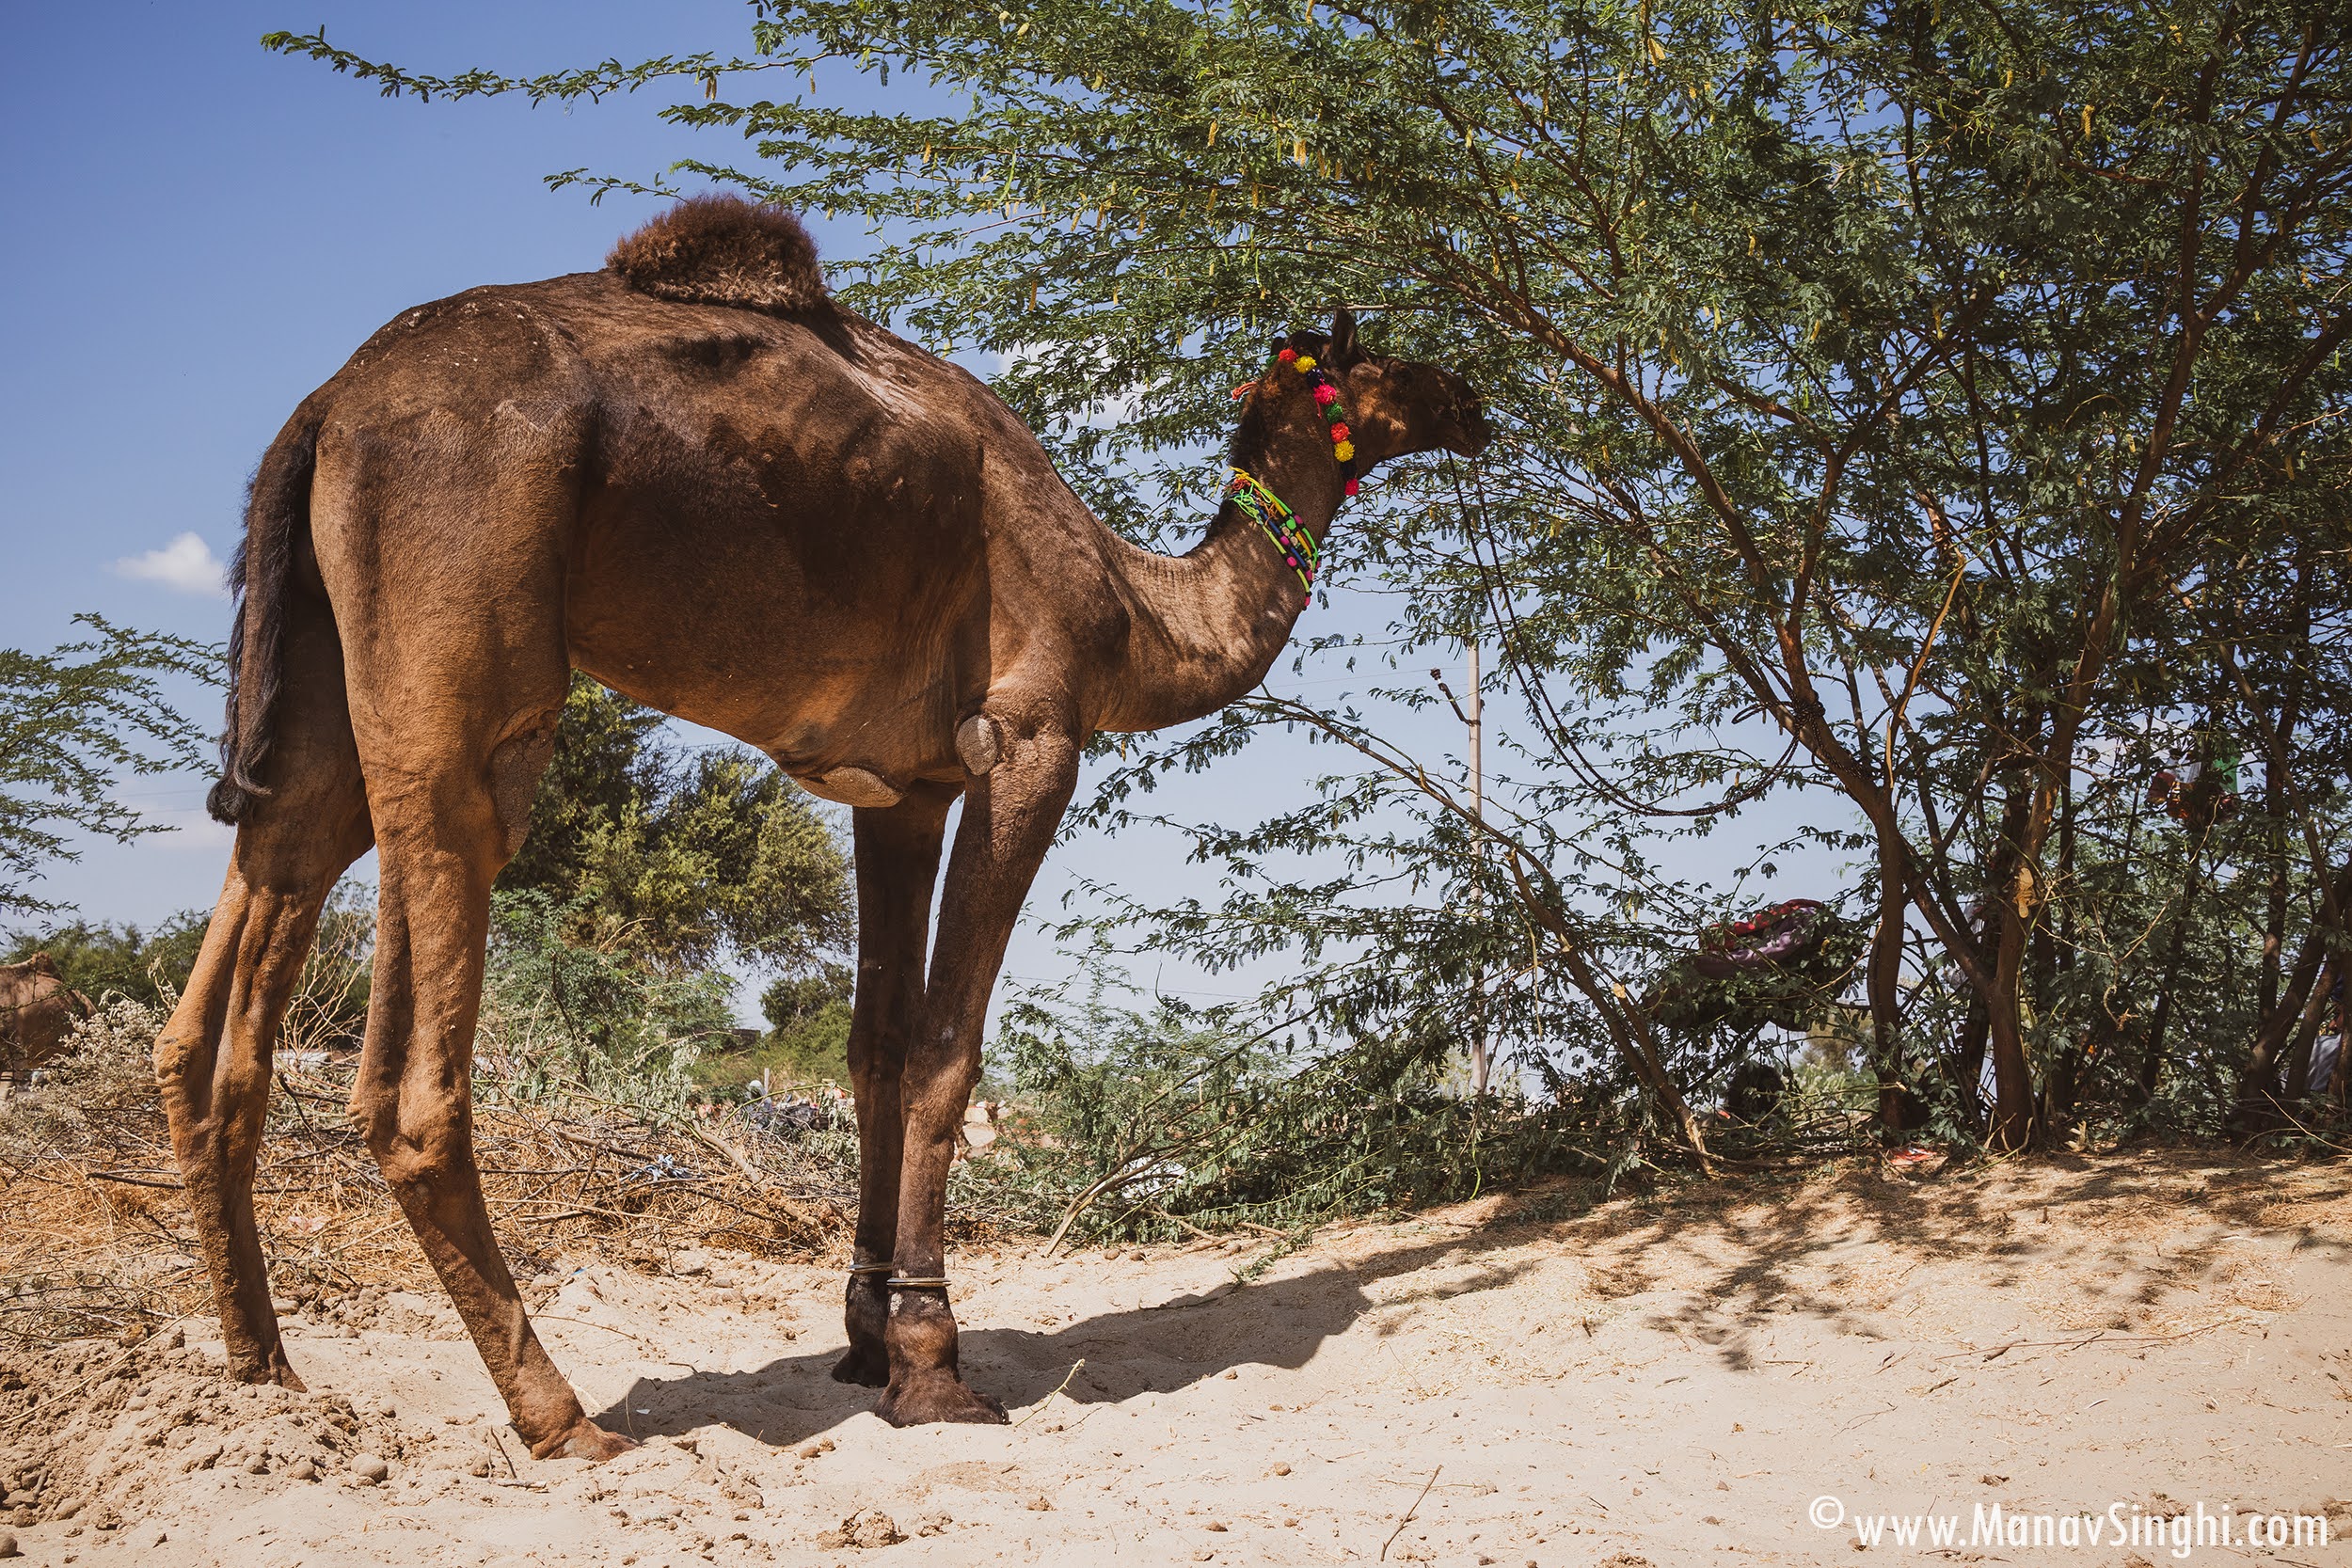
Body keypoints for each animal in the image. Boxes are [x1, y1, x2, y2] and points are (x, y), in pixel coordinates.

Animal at [161, 196, 1486, 1457]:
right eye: (1384, 362)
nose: (1473, 400)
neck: (1132, 608)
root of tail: (326, 406)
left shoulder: (905, 786)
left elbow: (876, 1049)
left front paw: (866, 1340)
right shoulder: (1027, 736)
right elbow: (949, 1048)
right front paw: (934, 1365)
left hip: (323, 679)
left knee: (232, 974)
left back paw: (262, 1372)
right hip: (464, 657)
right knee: (411, 1063)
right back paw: (559, 1416)